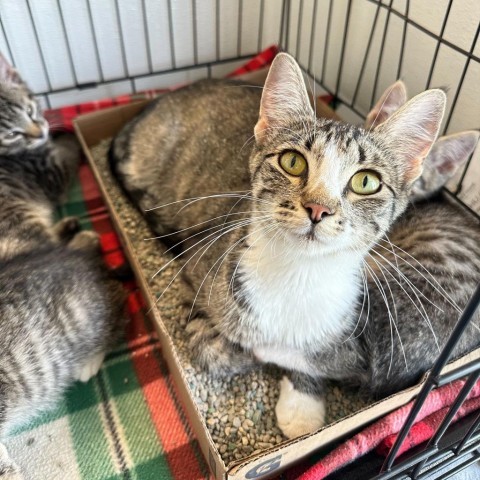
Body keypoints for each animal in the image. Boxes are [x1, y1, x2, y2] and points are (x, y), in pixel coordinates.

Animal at [111, 52, 476, 438]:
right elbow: (218, 349)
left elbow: (316, 359)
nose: (318, 208)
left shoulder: (360, 342)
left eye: (365, 182)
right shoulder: (200, 270)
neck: (296, 274)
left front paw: (301, 403)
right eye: (292, 161)